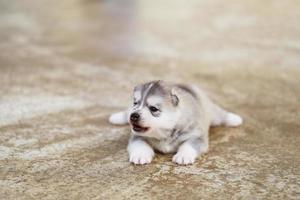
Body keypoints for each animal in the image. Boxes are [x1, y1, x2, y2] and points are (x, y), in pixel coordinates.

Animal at [109, 80, 243, 165]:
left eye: (153, 109)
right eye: (135, 103)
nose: (133, 116)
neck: (165, 132)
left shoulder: (197, 136)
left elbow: (188, 145)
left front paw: (183, 156)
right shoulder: (137, 136)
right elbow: (139, 144)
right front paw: (140, 155)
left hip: (212, 113)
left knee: (221, 114)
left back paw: (235, 119)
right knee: (126, 111)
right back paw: (115, 117)